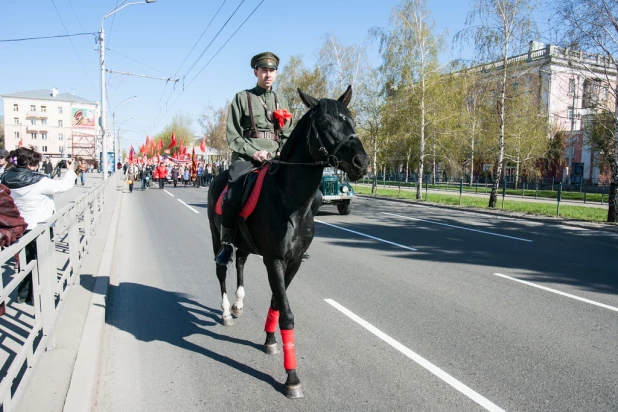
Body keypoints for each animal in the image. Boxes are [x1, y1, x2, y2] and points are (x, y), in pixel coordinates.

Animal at [207, 85, 370, 398]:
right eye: (325, 123)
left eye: (352, 120)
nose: (362, 163)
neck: (291, 200)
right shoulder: (274, 260)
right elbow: (287, 314)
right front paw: (291, 377)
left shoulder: (293, 262)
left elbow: (277, 302)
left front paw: (270, 339)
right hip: (215, 235)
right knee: (222, 268)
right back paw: (225, 311)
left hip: (245, 243)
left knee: (241, 262)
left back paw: (238, 304)